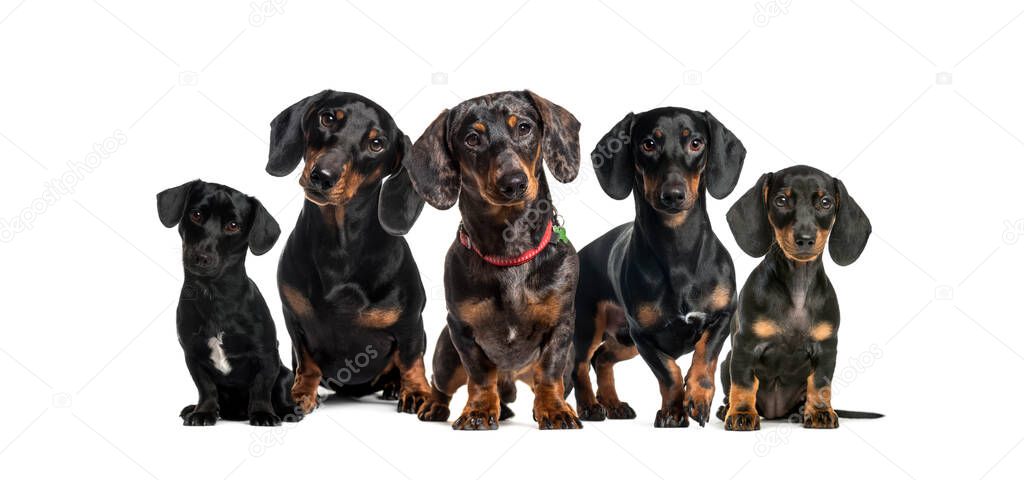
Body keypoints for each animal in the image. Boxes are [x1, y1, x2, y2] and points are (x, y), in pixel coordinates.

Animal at [156, 180, 299, 425]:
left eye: (233, 225)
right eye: (196, 214)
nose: (202, 257)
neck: (214, 295)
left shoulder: (266, 355)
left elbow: (261, 388)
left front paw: (262, 413)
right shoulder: (193, 355)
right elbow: (206, 388)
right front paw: (203, 412)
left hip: (286, 374)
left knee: (280, 390)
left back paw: (288, 410)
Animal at [720, 165, 880, 429]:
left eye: (825, 202)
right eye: (781, 200)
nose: (805, 239)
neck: (797, 288)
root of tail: (775, 413)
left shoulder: (826, 349)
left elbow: (820, 384)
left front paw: (820, 412)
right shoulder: (744, 346)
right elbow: (743, 384)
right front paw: (741, 413)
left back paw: (802, 411)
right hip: (726, 361)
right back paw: (726, 409)